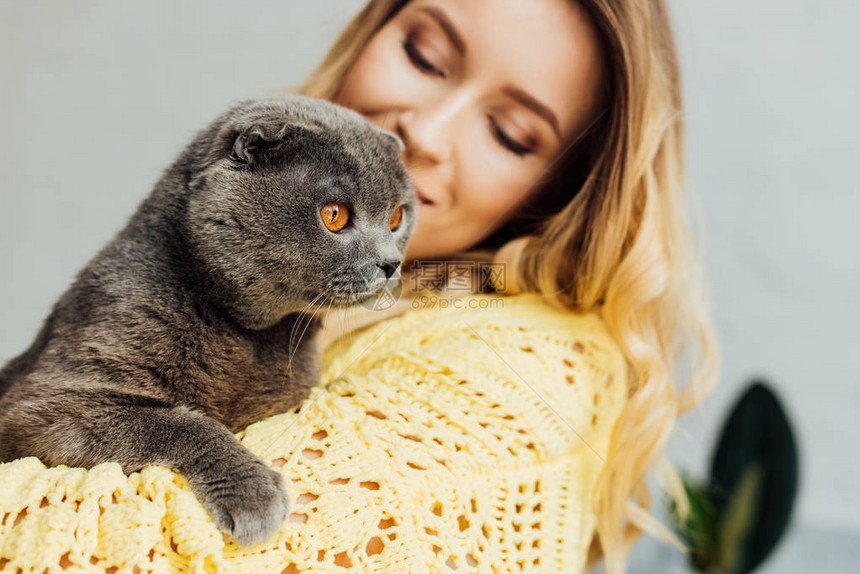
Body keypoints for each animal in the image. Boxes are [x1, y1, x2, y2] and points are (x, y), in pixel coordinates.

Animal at [0, 97, 416, 548]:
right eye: (334, 215)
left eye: (397, 217)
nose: (391, 263)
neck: (244, 332)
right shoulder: (49, 401)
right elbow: (181, 422)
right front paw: (254, 494)